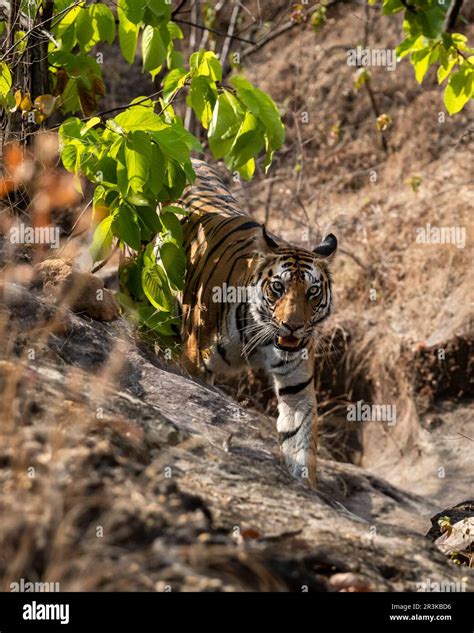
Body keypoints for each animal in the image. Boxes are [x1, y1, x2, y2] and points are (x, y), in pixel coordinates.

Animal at [176, 160, 336, 486]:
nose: (293, 325)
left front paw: (304, 487)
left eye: (312, 291)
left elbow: (300, 442)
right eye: (278, 287)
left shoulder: (298, 389)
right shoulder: (194, 363)